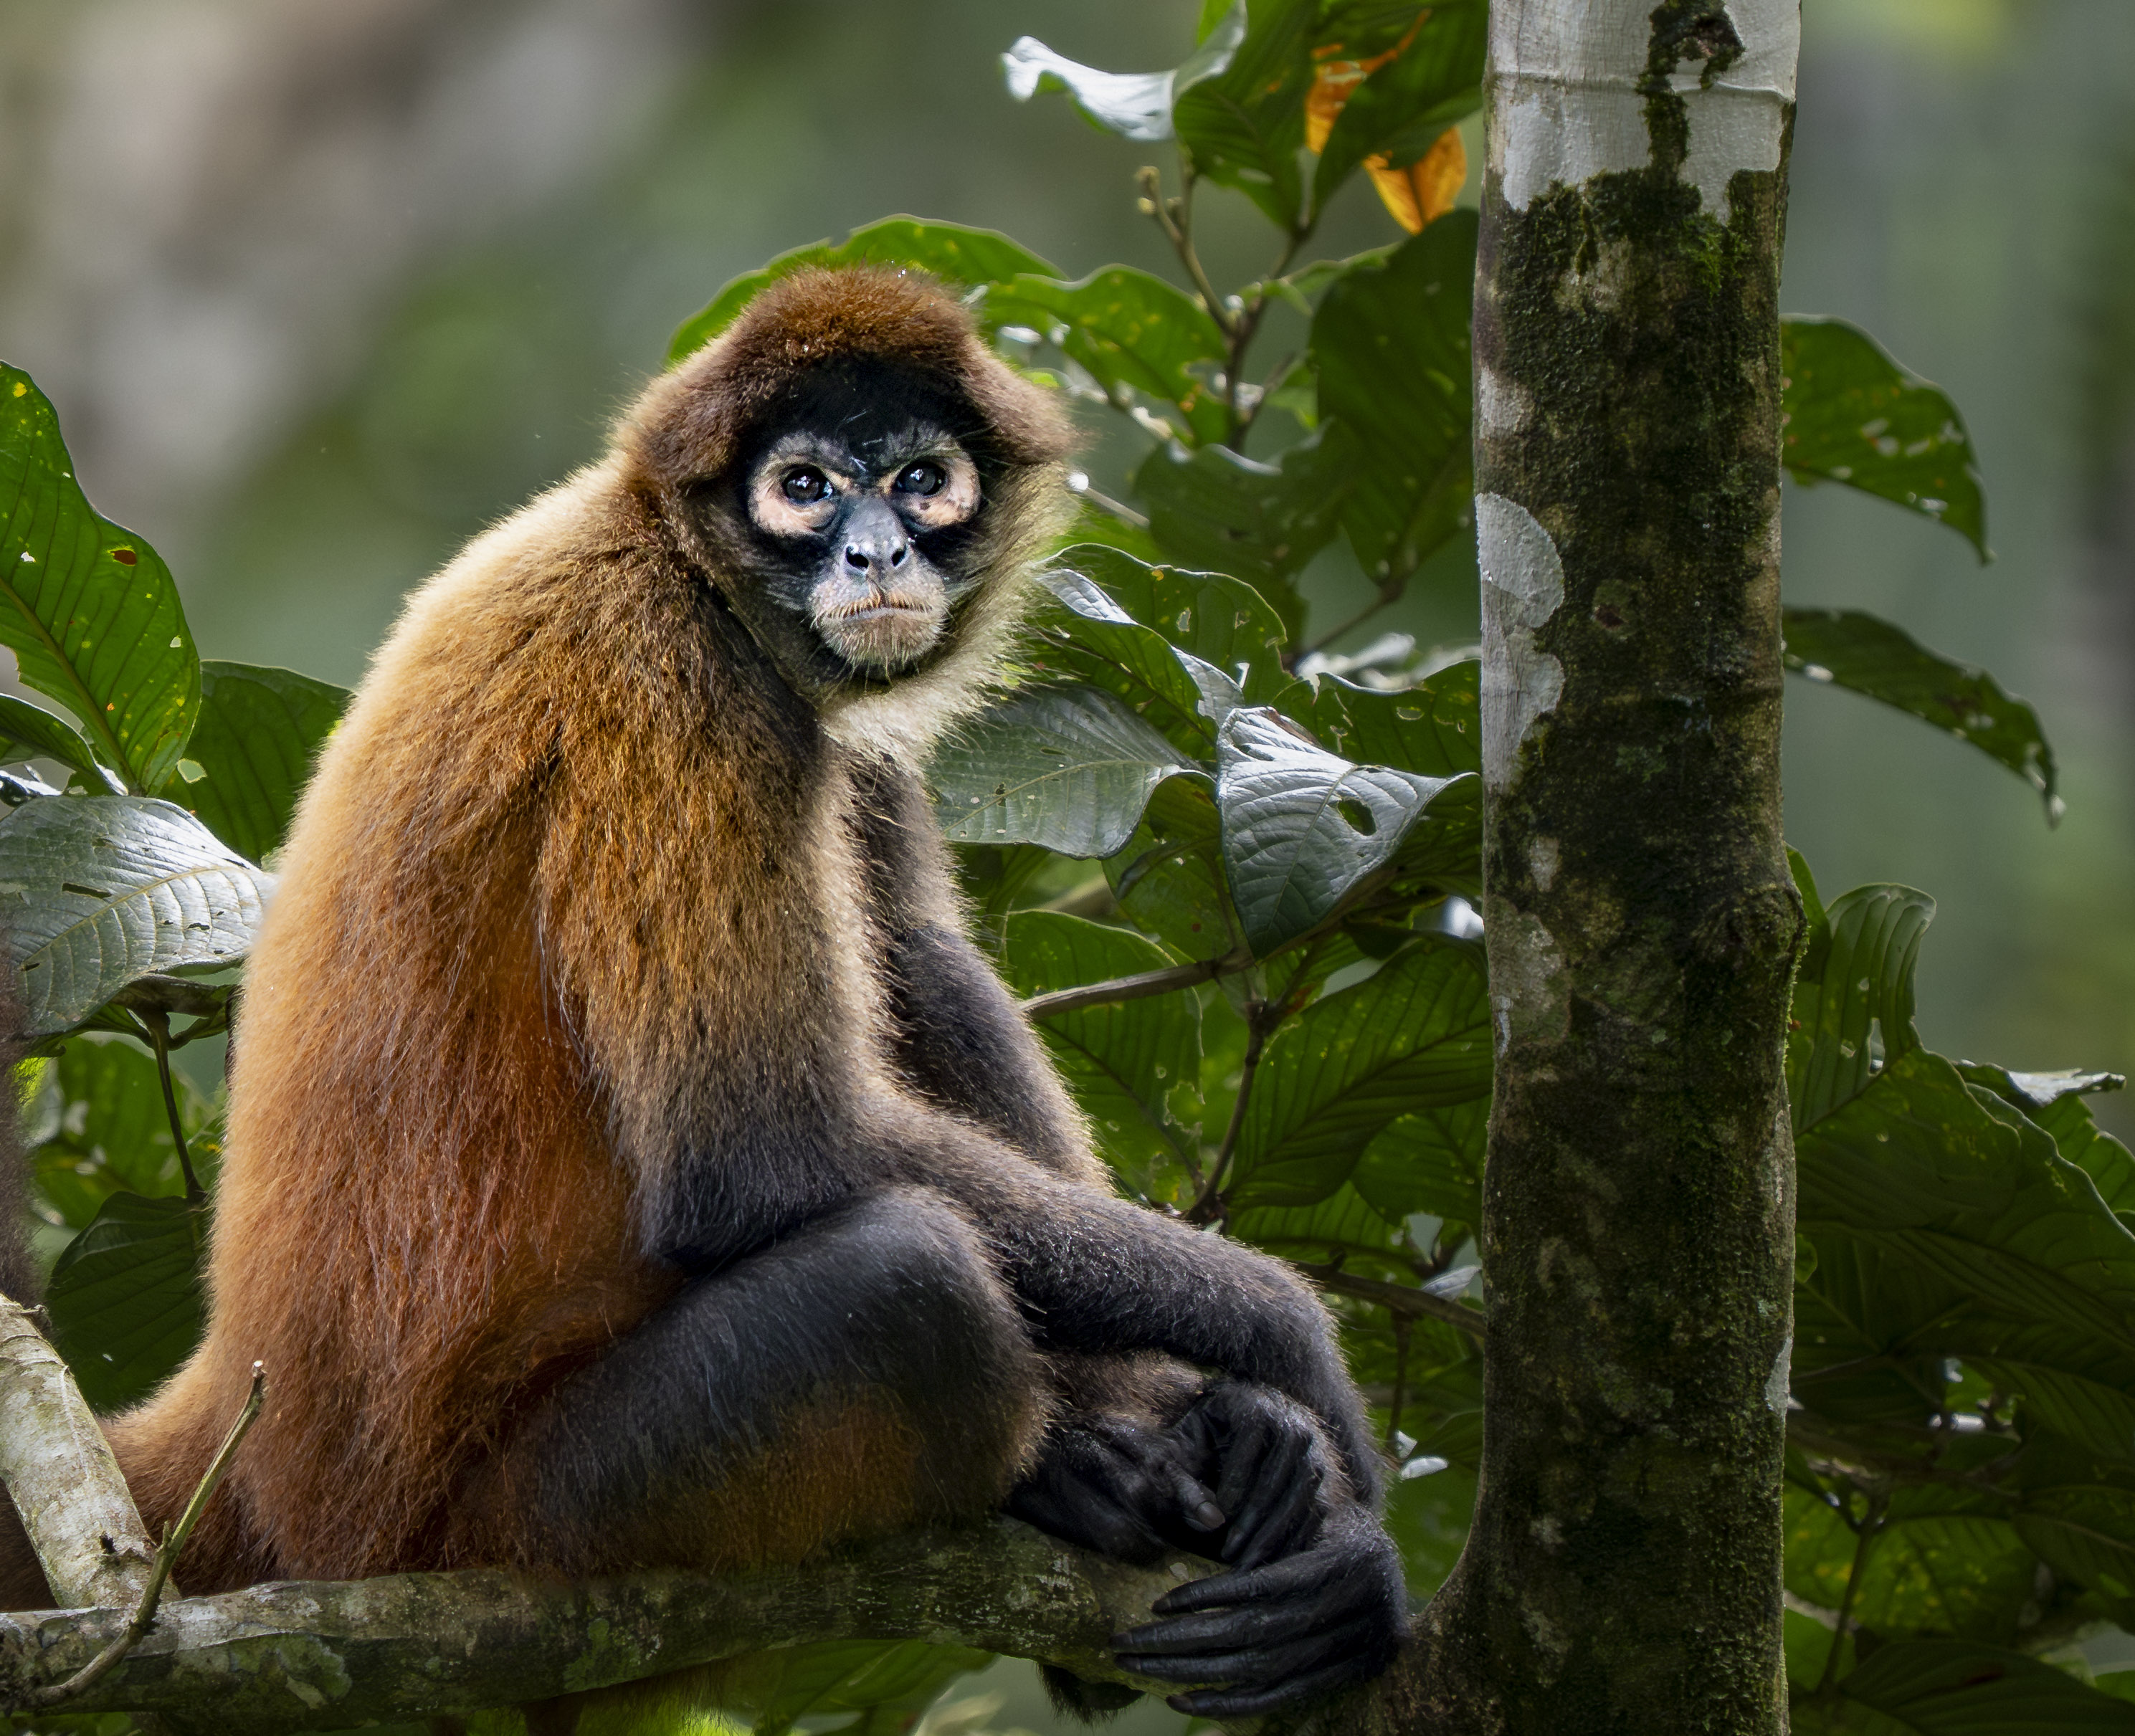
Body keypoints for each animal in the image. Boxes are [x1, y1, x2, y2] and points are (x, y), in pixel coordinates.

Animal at [0, 267, 1404, 1724]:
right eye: (803, 487)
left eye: (918, 480)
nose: (872, 555)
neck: (659, 548)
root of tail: (247, 1429)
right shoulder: (678, 678)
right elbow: (761, 1162)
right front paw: (1286, 1358)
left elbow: (909, 955)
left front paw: (1243, 1424)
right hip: (531, 1510)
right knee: (907, 1281)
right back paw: (1085, 1471)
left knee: (916, 973)